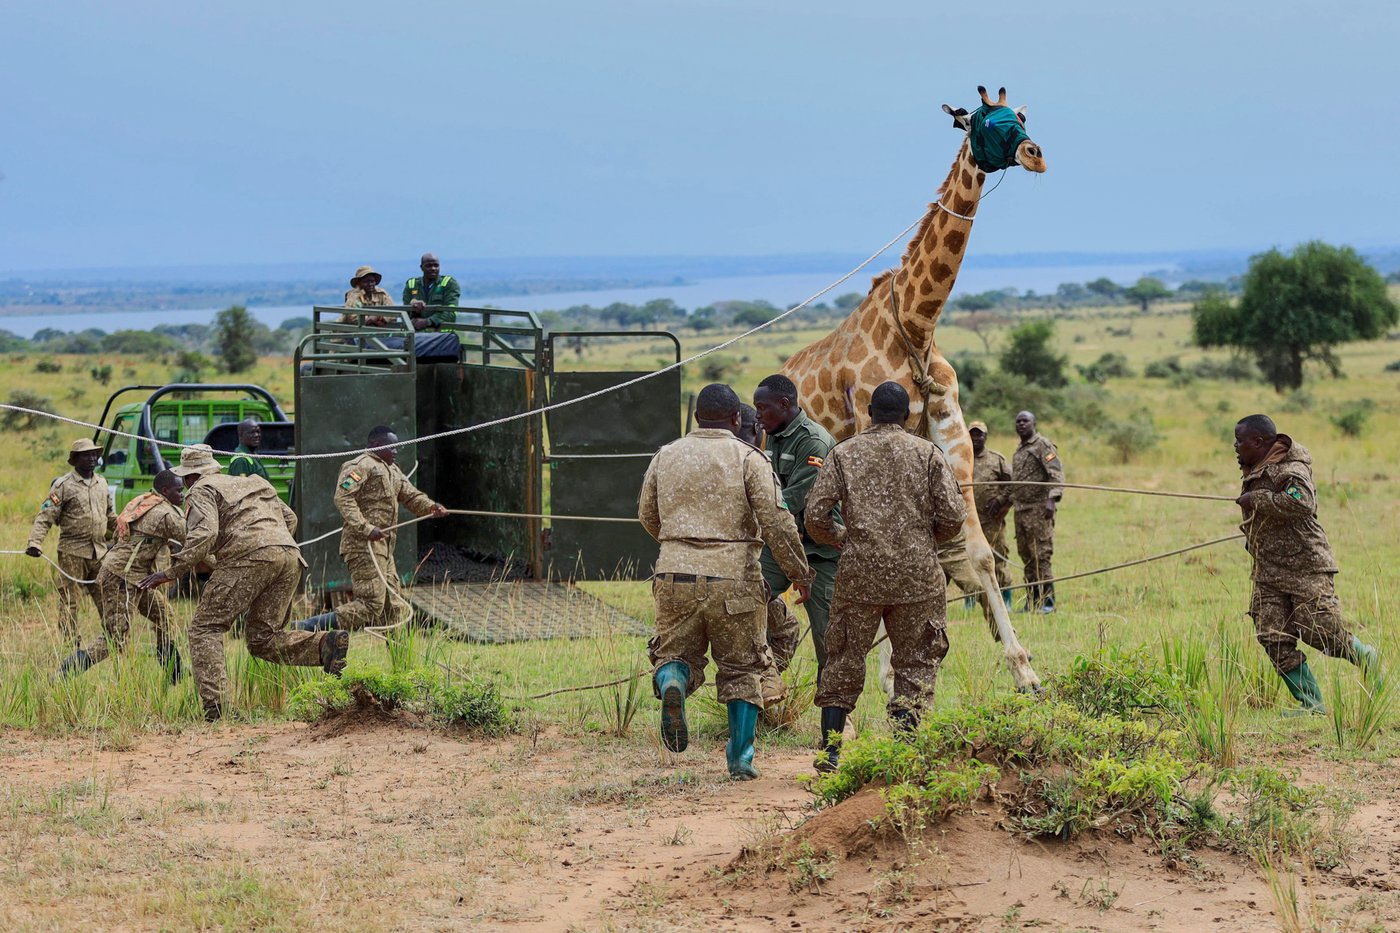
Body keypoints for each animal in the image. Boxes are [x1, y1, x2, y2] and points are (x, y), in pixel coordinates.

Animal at [781, 86, 1046, 692]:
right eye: (982, 119)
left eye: (1021, 115)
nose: (1035, 155)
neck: (918, 324)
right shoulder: (874, 430)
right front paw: (886, 676)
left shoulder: (952, 438)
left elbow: (975, 554)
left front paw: (1025, 672)